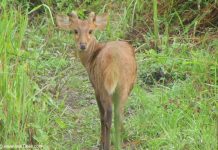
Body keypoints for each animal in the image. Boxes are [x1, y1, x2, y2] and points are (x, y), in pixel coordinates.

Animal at [56, 11, 136, 149]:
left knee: (107, 116)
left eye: (90, 31)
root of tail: (113, 63)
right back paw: (119, 142)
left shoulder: (95, 88)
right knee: (118, 116)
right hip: (124, 87)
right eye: (75, 30)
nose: (82, 45)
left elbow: (101, 115)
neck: (91, 57)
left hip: (103, 87)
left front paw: (101, 141)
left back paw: (106, 145)